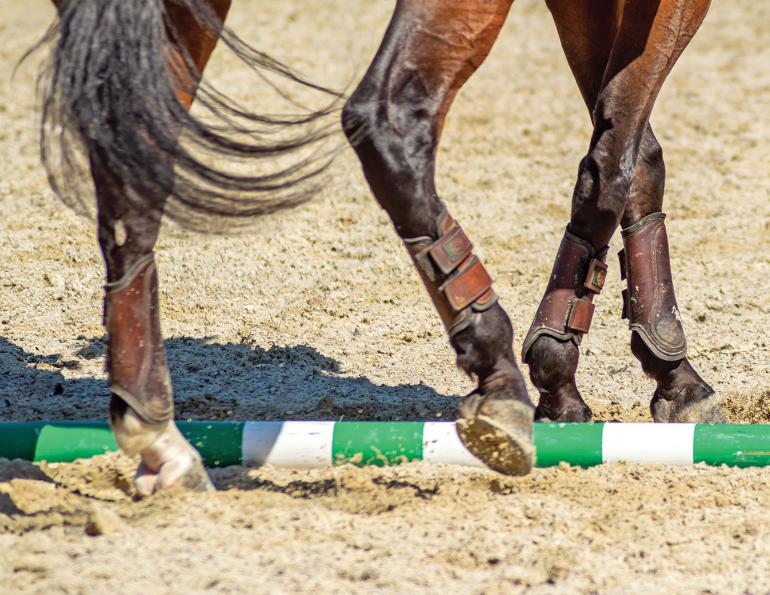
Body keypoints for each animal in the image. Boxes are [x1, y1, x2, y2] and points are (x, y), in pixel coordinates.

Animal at [34, 0, 722, 495]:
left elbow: (629, 153)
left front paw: (582, 371)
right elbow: (615, 161)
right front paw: (652, 372)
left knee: (132, 169)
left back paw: (158, 437)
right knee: (388, 122)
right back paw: (496, 375)